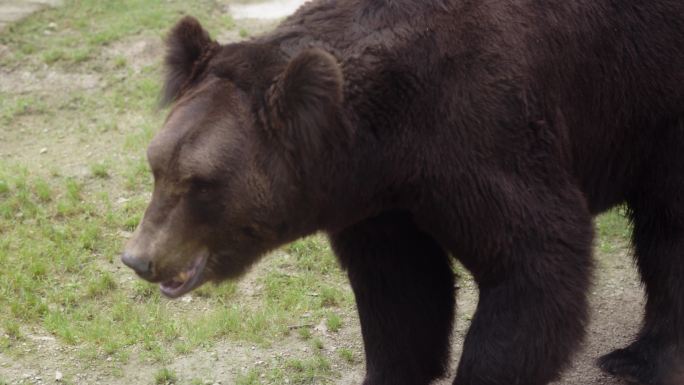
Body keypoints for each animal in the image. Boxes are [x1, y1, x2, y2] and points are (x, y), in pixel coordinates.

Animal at [121, 1, 684, 382]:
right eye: (157, 165)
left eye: (201, 182)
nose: (139, 258)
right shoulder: (376, 198)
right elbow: (402, 290)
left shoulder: (483, 131)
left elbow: (535, 256)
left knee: (666, 235)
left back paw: (637, 358)